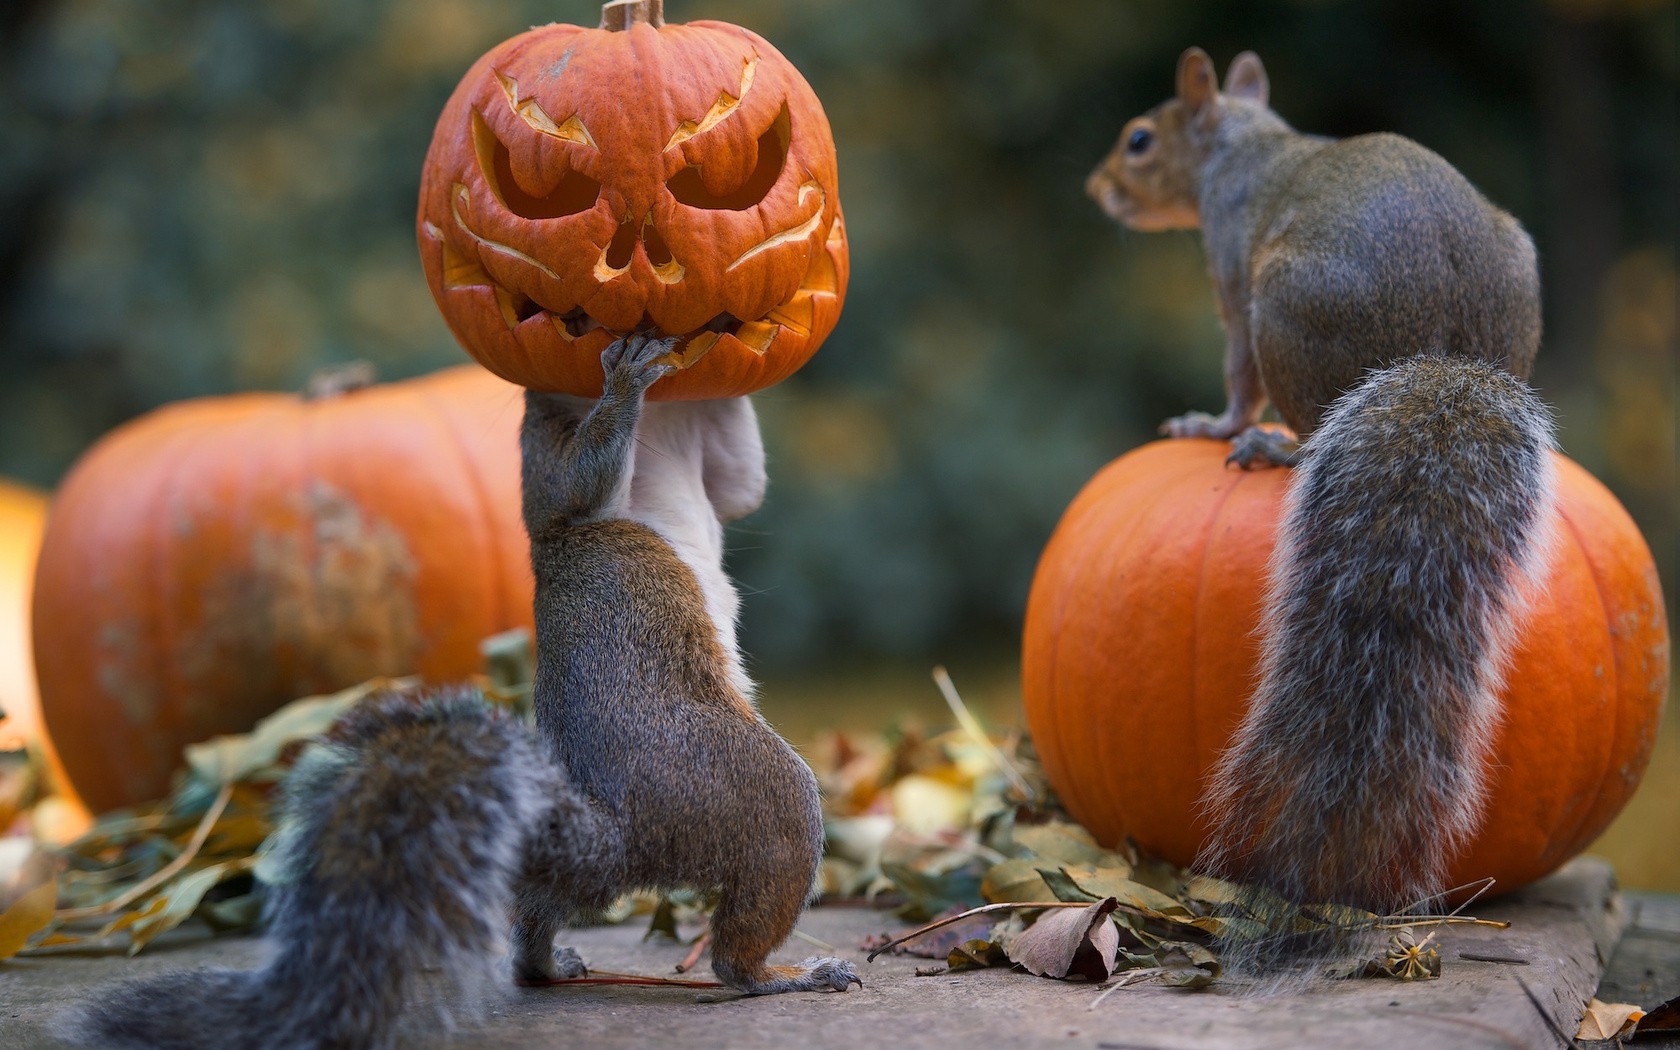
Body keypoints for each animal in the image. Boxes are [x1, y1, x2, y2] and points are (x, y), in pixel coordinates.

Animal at [70, 333, 860, 1050]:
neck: (664, 426)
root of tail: (619, 834)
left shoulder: (709, 460)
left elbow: (739, 483)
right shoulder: (545, 465)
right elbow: (574, 487)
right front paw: (625, 379)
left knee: (537, 917)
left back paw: (549, 963)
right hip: (756, 795)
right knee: (741, 941)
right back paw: (785, 975)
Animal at [1086, 49, 1558, 967]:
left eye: (1139, 140)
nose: (1097, 189)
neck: (1244, 145)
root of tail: (1450, 353)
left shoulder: (1231, 274)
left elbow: (1236, 373)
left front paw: (1213, 422)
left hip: (1286, 307)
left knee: (1299, 419)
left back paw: (1274, 447)